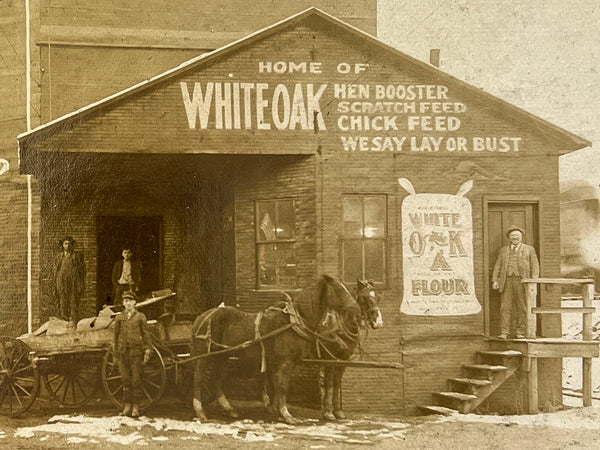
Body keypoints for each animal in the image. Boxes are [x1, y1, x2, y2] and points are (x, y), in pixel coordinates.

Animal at [190, 272, 364, 424]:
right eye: (338, 289)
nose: (357, 309)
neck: (294, 322)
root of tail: (202, 316)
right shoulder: (285, 362)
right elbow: (282, 387)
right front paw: (286, 415)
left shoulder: (284, 363)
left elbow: (277, 386)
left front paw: (277, 412)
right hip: (203, 355)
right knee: (198, 378)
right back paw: (200, 411)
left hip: (221, 355)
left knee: (217, 378)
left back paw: (229, 408)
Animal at [316, 280, 382, 420]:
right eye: (365, 298)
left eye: (378, 298)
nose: (378, 322)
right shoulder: (329, 359)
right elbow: (329, 382)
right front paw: (328, 412)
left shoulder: (343, 359)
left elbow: (337, 382)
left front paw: (337, 411)